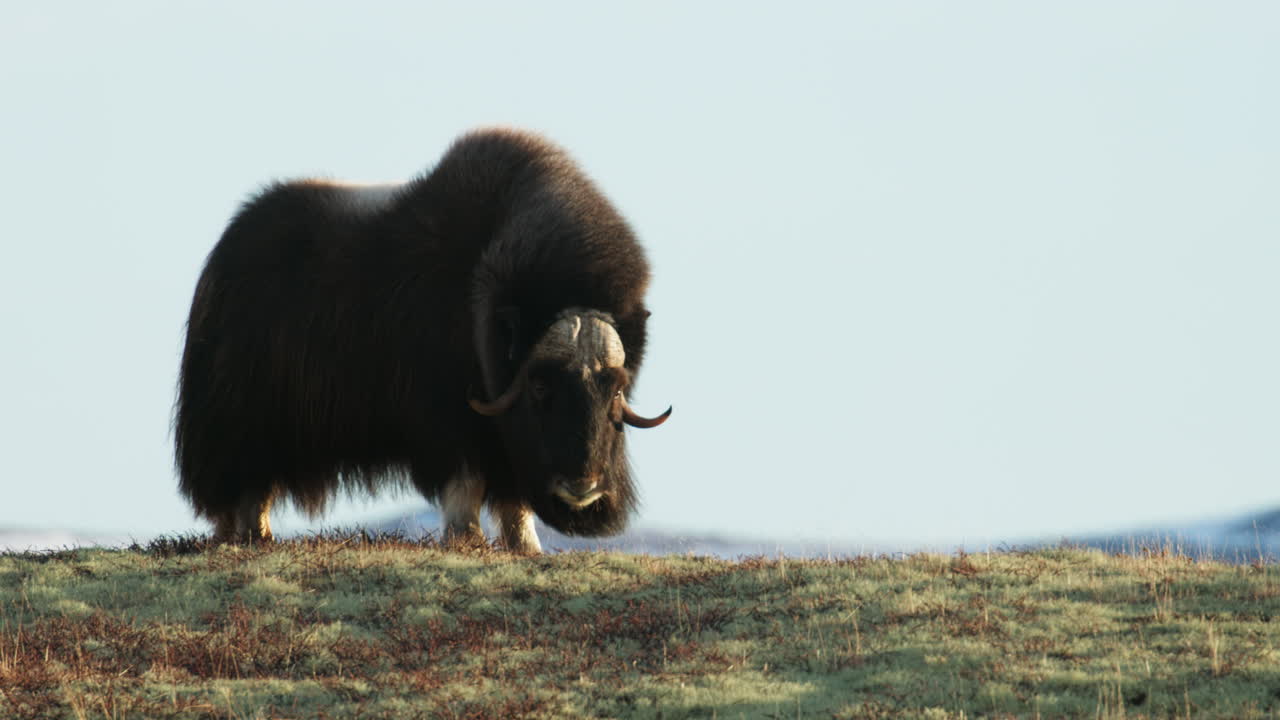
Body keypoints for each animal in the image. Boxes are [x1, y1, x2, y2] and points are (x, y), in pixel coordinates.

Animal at [173, 127, 670, 553]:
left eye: (616, 387)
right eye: (540, 386)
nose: (583, 487)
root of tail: (223, 254)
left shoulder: (503, 440)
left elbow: (512, 495)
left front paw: (526, 547)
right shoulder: (449, 416)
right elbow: (465, 477)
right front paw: (466, 539)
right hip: (243, 418)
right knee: (246, 481)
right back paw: (253, 537)